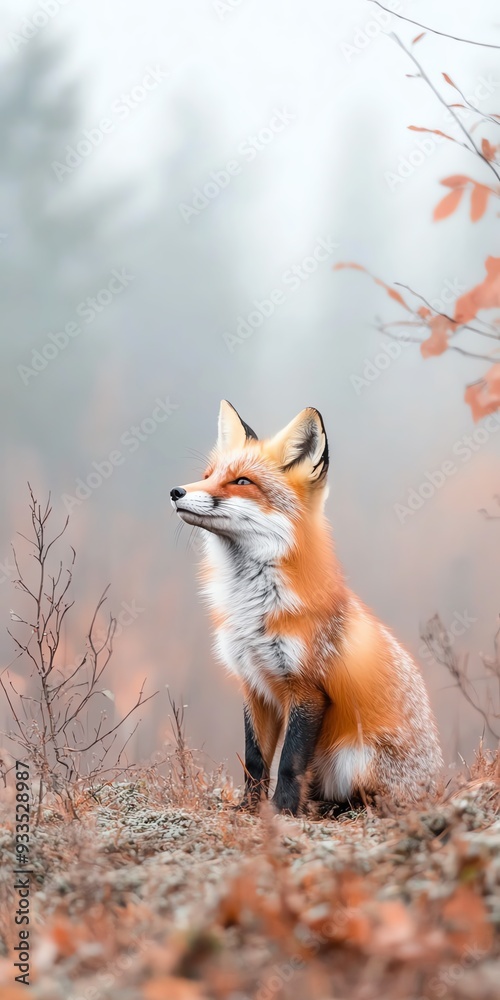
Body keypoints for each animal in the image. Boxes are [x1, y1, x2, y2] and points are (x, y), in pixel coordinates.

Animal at [170, 400, 443, 815]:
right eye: (207, 475)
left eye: (242, 482)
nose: (176, 491)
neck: (253, 608)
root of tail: (435, 786)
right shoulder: (255, 685)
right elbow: (255, 761)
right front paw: (248, 810)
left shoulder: (308, 688)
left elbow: (289, 762)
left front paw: (283, 811)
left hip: (353, 757)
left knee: (371, 800)